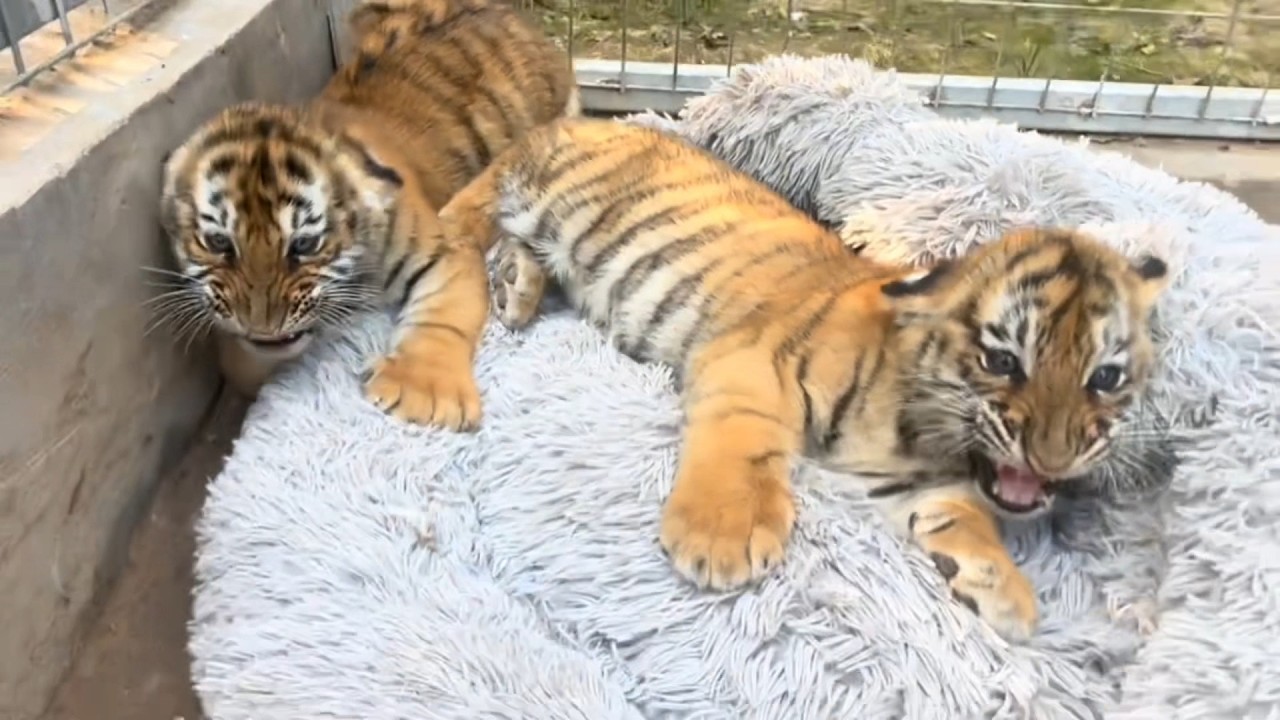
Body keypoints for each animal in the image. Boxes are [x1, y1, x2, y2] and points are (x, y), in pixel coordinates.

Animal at [156, 0, 578, 429]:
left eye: (304, 245)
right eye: (218, 242)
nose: (263, 327)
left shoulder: (445, 251)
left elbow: (443, 315)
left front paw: (423, 390)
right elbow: (240, 362)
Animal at [433, 117, 1173, 641]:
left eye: (1105, 376)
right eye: (1002, 361)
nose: (1054, 458)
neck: (925, 434)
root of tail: (586, 121)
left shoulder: (915, 484)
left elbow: (965, 518)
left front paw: (1003, 587)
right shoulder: (752, 364)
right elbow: (743, 439)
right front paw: (721, 538)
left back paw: (518, 288)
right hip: (532, 191)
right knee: (463, 213)